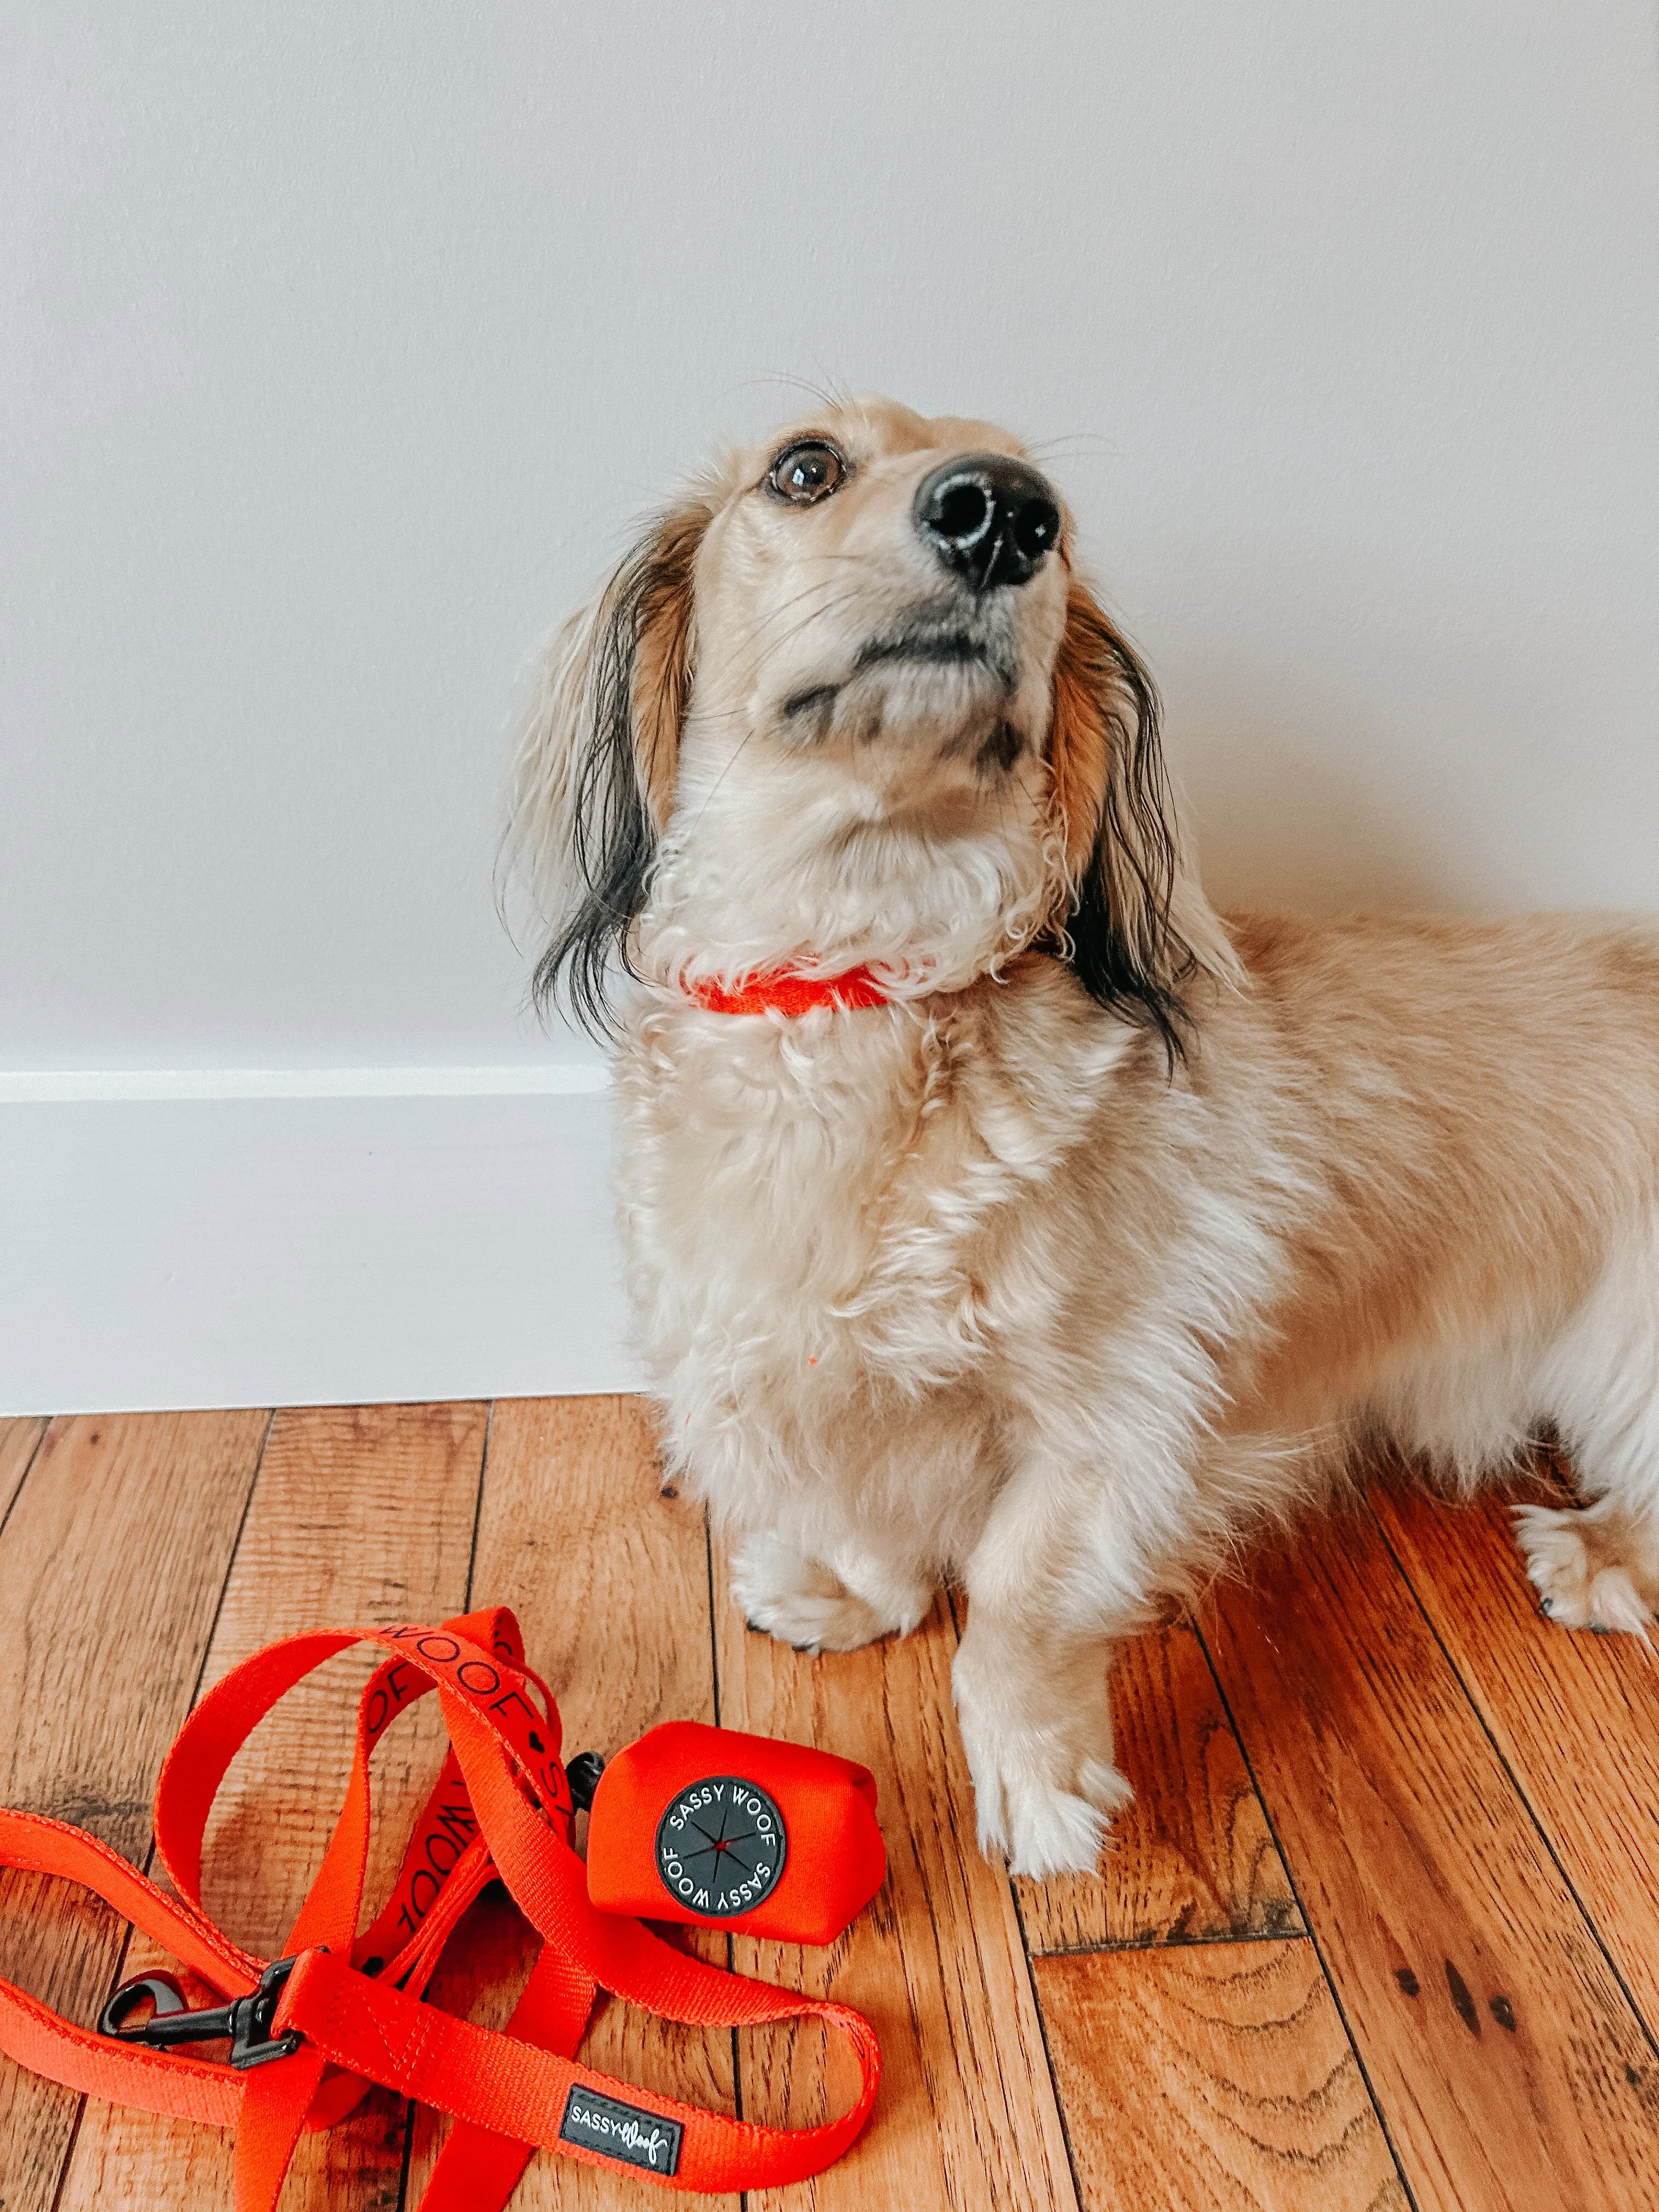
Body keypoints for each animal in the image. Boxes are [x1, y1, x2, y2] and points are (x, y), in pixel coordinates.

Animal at [506, 393, 1659, 1867]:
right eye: (805, 468)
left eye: (1050, 513)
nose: (1001, 515)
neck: (864, 980)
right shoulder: (826, 1379)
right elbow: (876, 1515)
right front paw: (854, 1593)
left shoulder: (1112, 1420)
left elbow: (1014, 1608)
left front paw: (1035, 1782)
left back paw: (1603, 1553)